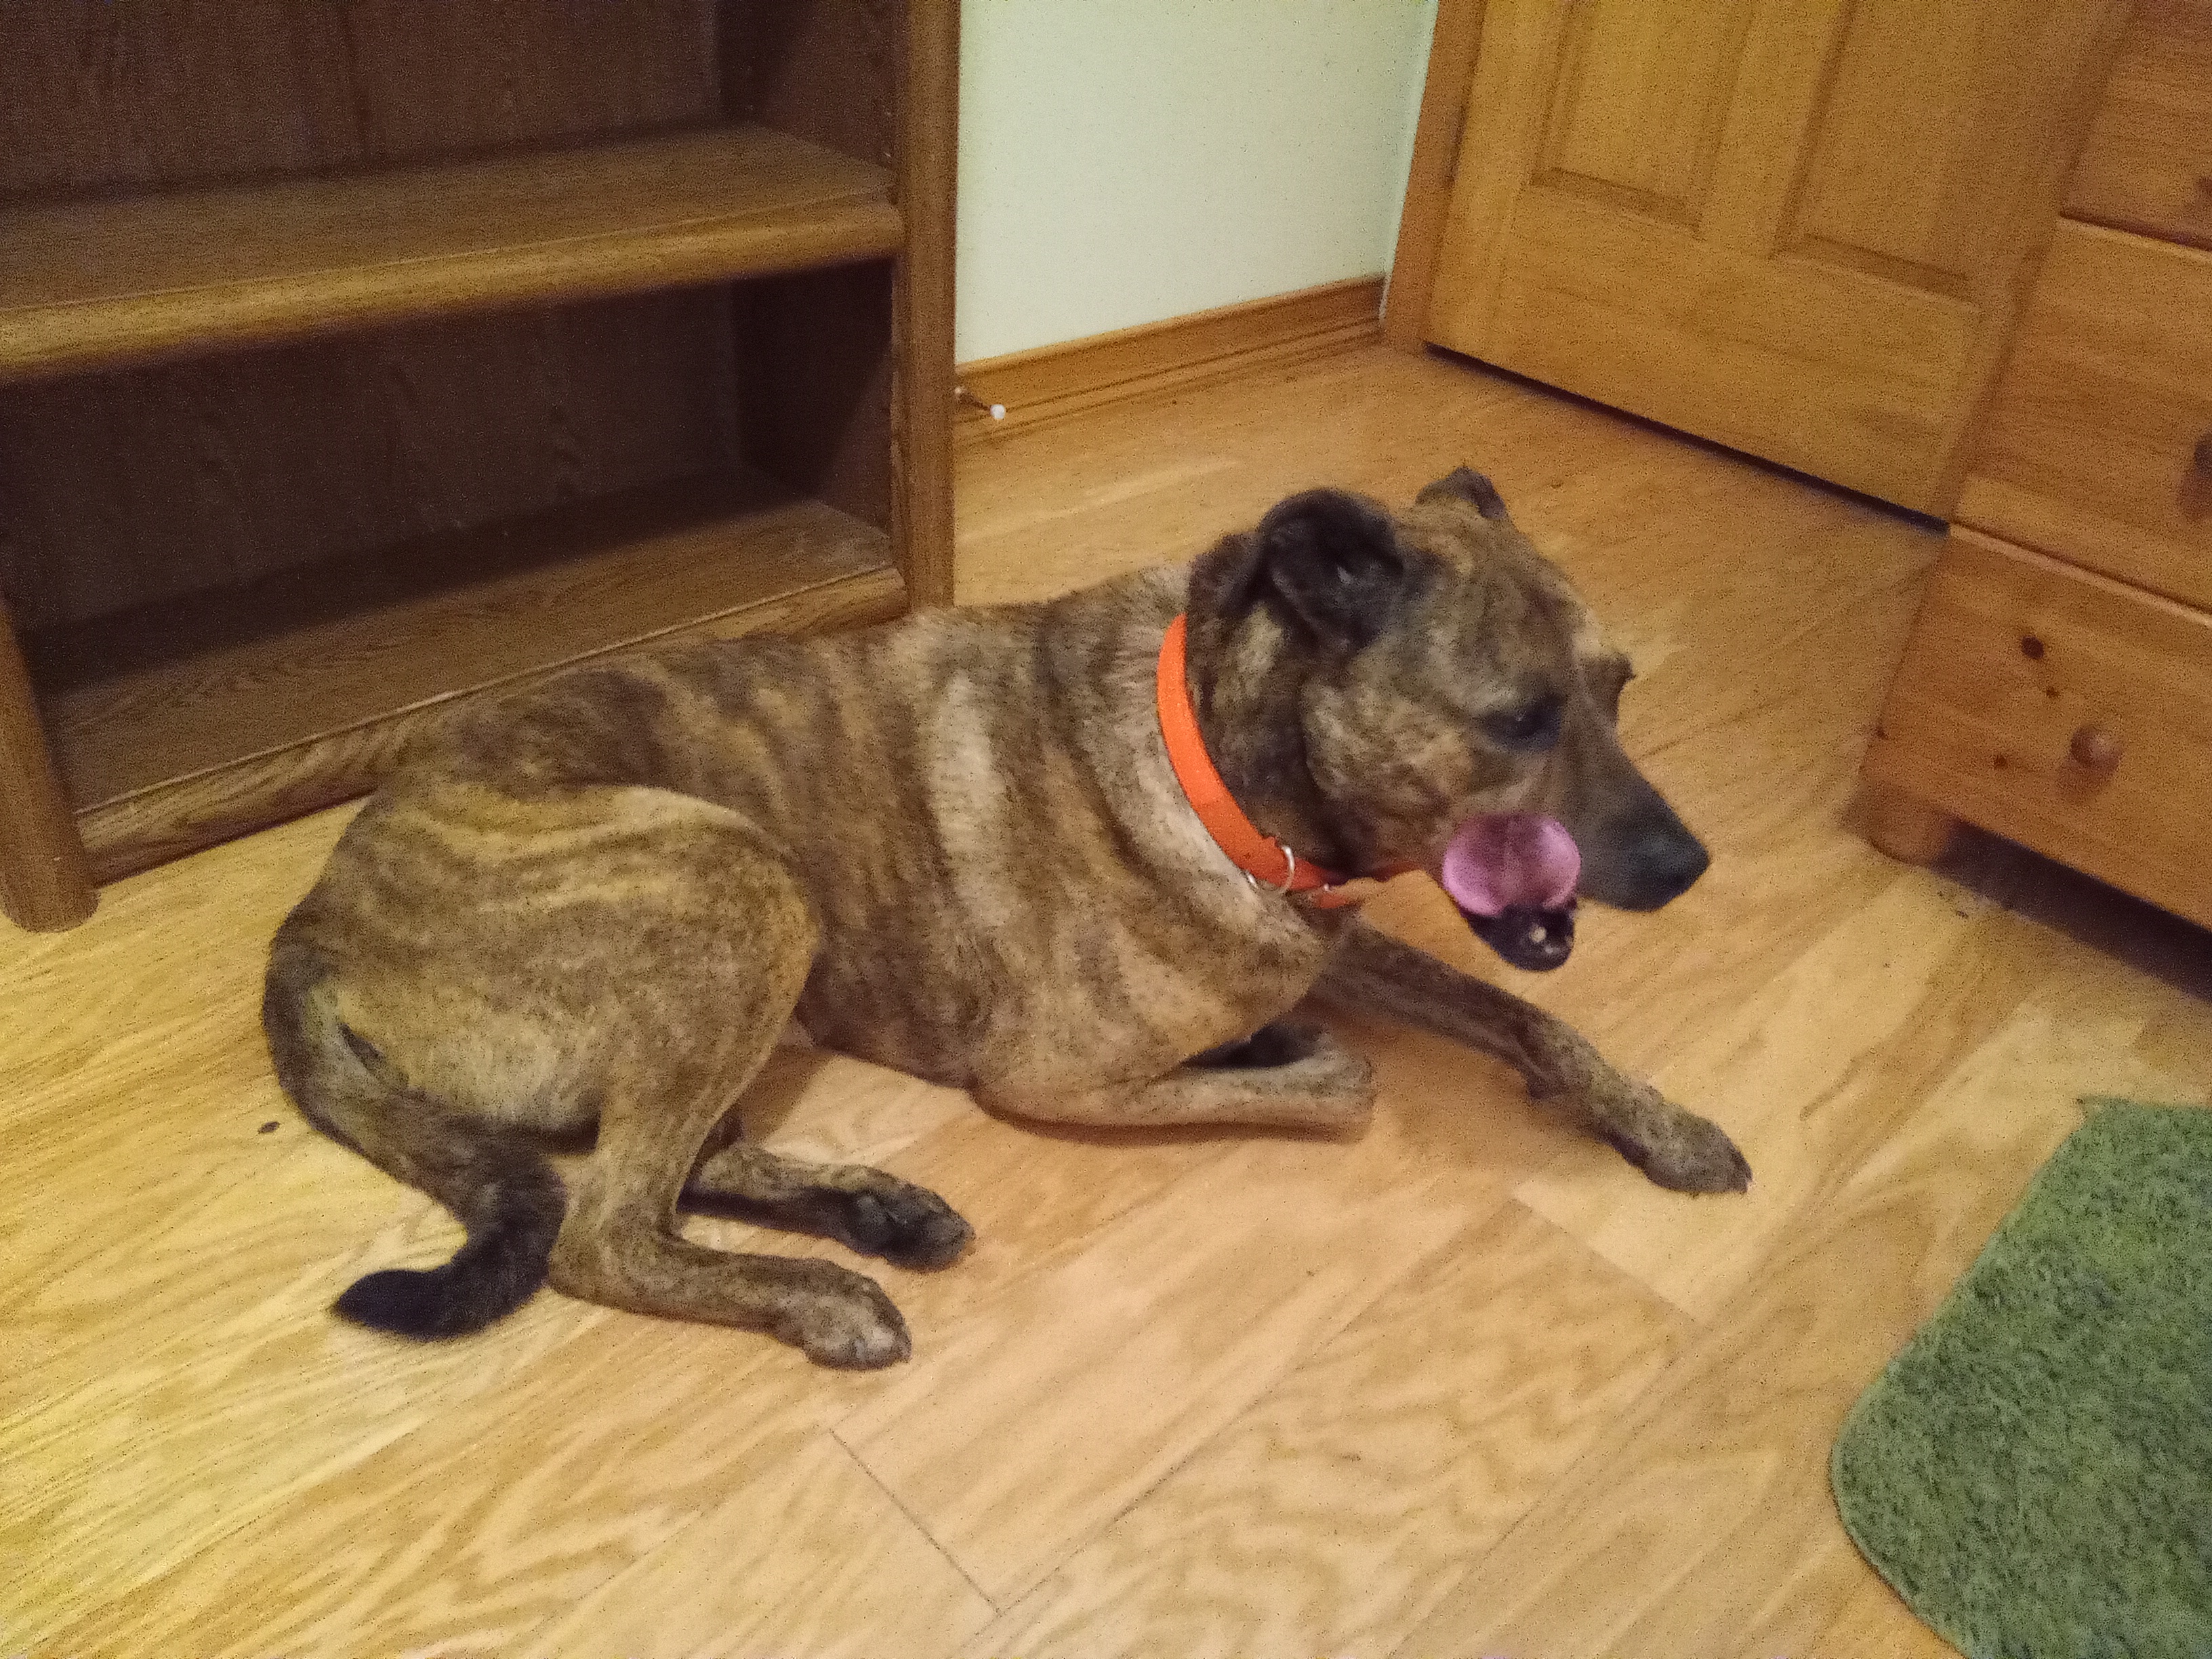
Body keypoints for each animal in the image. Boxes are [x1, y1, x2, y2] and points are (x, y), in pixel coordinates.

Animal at [264, 468, 1750, 1368]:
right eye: (1517, 720)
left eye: (1618, 689)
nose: (1691, 867)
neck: (1220, 760)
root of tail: (313, 921)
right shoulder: (1055, 1073)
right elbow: (1341, 1079)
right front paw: (1279, 1052)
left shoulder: (1333, 932)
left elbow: (1528, 1019)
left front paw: (1660, 1122)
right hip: (739, 883)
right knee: (609, 1227)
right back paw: (823, 1291)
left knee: (681, 1167)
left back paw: (875, 1211)